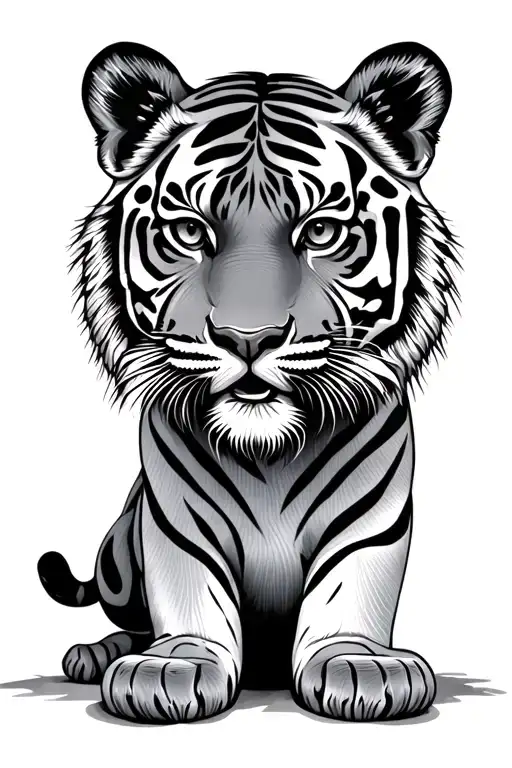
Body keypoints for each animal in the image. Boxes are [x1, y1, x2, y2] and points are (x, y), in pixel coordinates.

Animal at [37, 40, 459, 723]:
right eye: (190, 231)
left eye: (320, 231)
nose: (249, 337)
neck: (268, 456)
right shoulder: (173, 522)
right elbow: (191, 589)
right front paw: (173, 664)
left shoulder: (371, 518)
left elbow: (351, 584)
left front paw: (361, 664)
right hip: (121, 546)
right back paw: (100, 653)